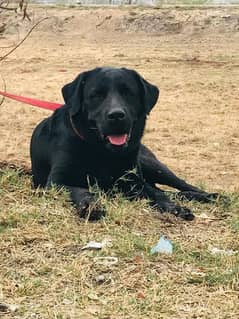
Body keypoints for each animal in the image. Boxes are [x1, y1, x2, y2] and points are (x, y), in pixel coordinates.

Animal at [30, 67, 217, 222]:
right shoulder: (56, 182)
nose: (116, 115)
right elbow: (79, 189)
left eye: (129, 93)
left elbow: (155, 193)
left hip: (153, 165)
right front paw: (90, 204)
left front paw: (173, 207)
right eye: (96, 95)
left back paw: (211, 196)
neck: (100, 151)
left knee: (181, 186)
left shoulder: (133, 181)